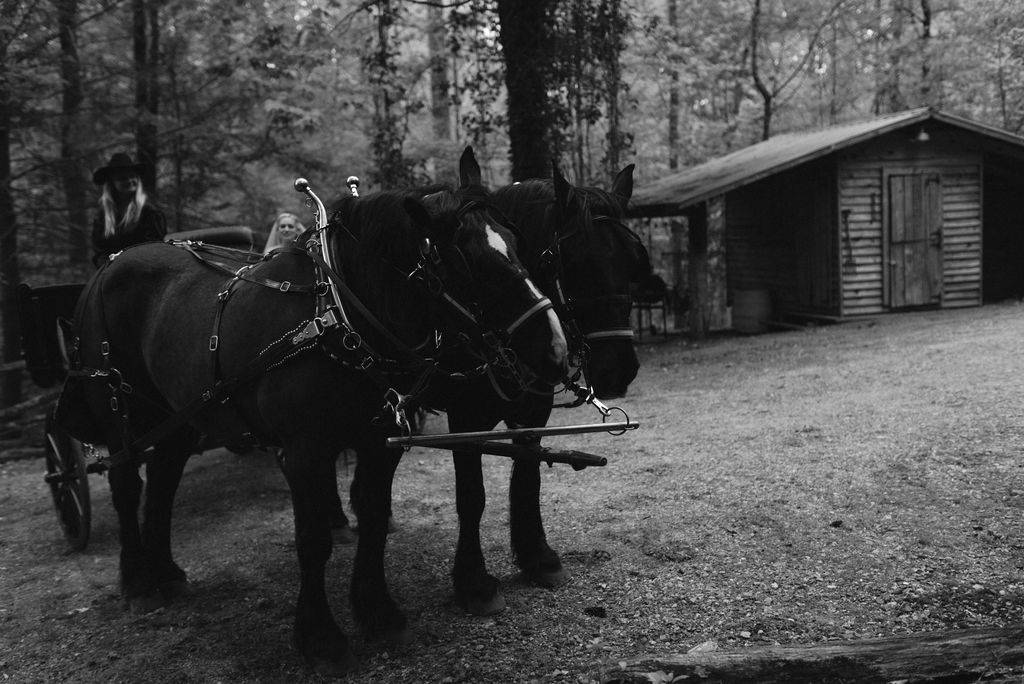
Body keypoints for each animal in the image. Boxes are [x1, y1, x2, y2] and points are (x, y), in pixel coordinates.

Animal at [64, 148, 569, 671]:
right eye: (467, 260)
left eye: (517, 242)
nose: (555, 347)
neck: (338, 316)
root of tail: (113, 264)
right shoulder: (306, 451)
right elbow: (313, 539)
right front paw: (320, 636)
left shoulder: (379, 440)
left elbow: (373, 515)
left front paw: (378, 611)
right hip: (118, 410)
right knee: (127, 484)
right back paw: (138, 581)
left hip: (179, 416)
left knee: (163, 479)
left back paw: (166, 572)